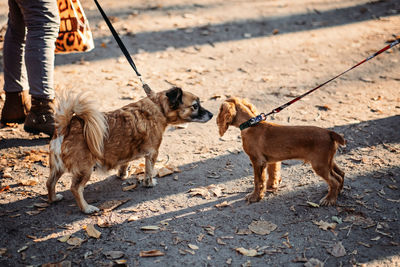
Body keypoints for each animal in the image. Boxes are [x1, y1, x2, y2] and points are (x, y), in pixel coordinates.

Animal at [47, 87, 212, 215]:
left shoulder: (125, 151)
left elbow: (124, 162)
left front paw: (122, 174)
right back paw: (86, 208)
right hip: (84, 170)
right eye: (195, 106)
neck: (158, 107)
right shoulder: (152, 153)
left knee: (50, 183)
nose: (211, 114)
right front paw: (149, 183)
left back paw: (53, 199)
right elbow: (149, 171)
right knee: (75, 188)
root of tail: (66, 128)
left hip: (57, 167)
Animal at [217, 98, 346, 207]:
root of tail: (329, 132)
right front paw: (270, 187)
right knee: (340, 175)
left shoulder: (257, 161)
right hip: (327, 161)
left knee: (334, 180)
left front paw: (255, 197)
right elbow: (272, 174)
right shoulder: (271, 161)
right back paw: (337, 193)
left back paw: (329, 199)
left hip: (319, 165)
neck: (251, 124)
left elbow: (258, 181)